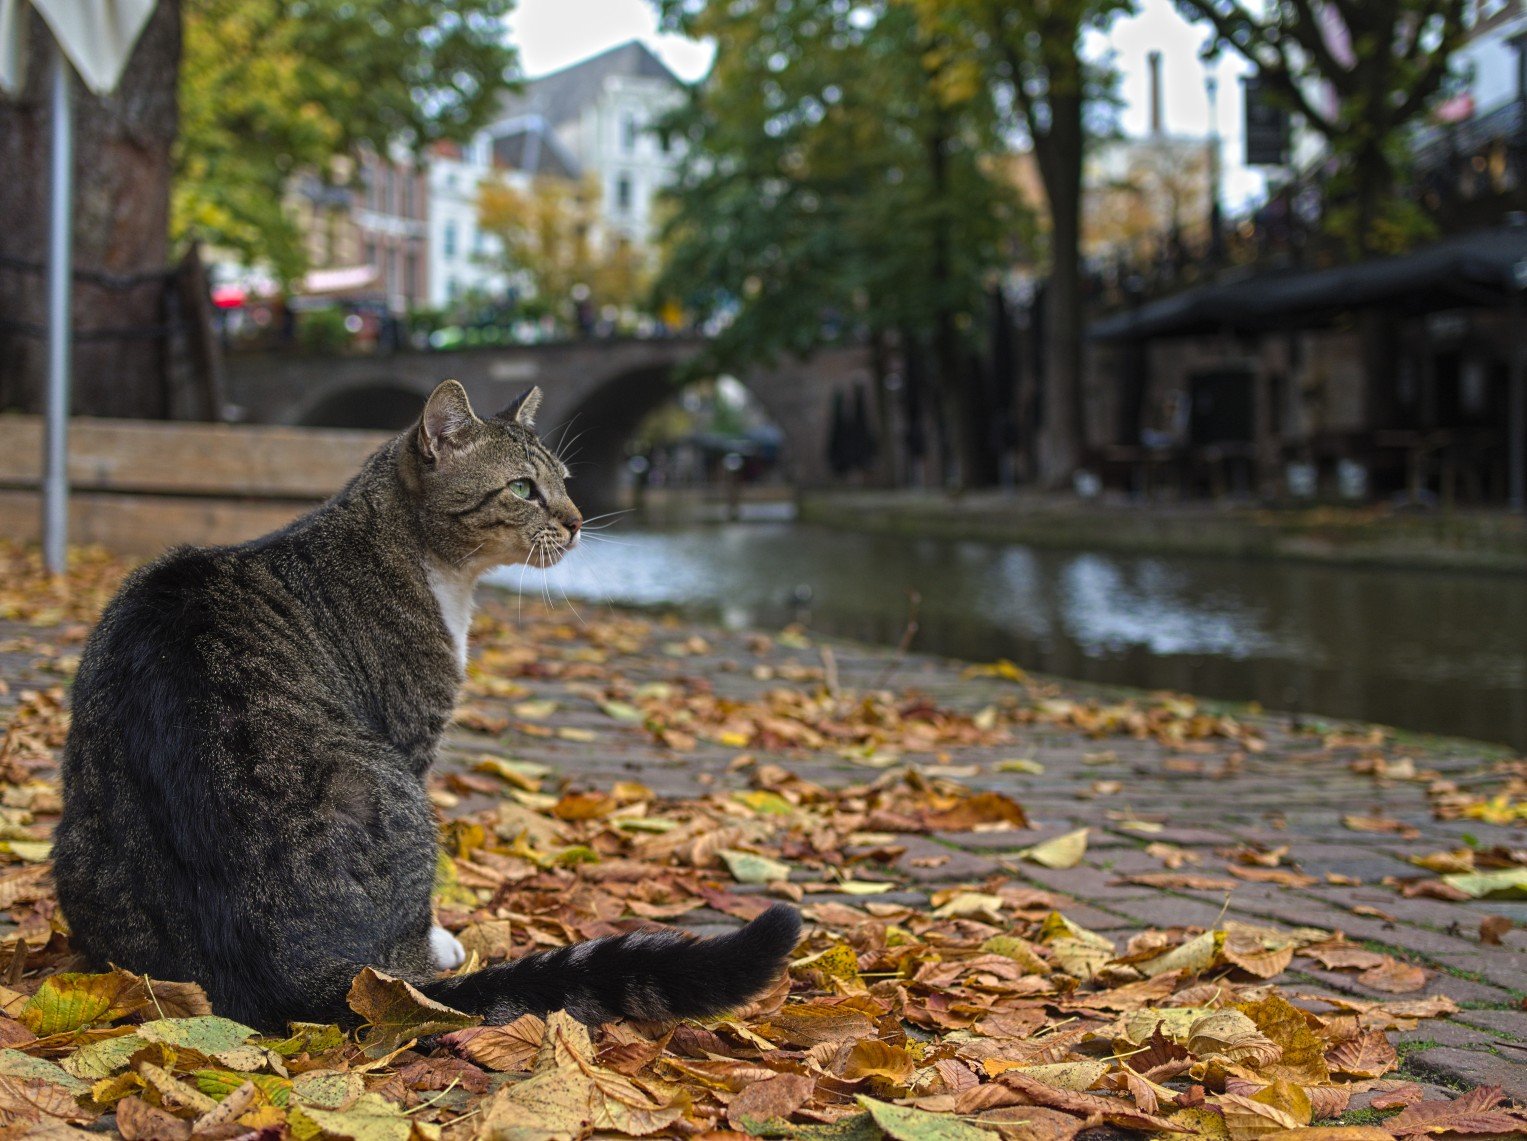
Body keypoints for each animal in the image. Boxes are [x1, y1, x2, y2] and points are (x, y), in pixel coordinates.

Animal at [53, 378, 800, 1032]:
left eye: (565, 480)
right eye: (523, 488)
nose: (577, 521)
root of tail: (288, 977)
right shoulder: (415, 736)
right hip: (393, 792)